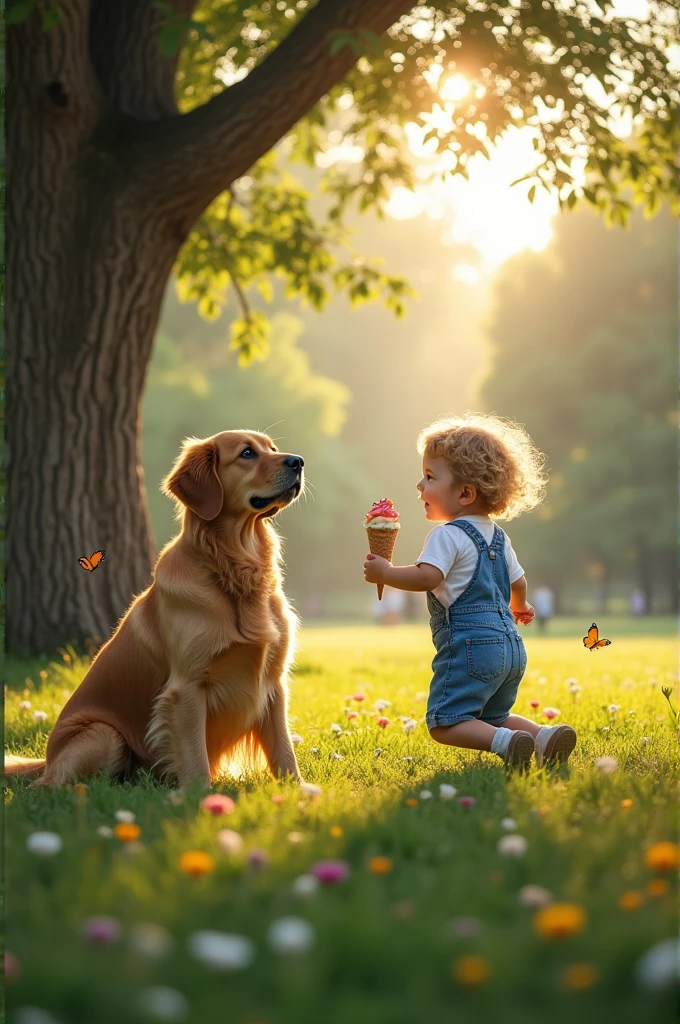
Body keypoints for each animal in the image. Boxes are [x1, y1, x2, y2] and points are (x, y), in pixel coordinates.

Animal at [6, 428, 303, 786]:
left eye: (272, 447)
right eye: (247, 453)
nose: (298, 461)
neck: (232, 570)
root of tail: (47, 761)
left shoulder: (273, 682)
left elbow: (284, 750)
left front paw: (299, 791)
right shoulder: (186, 688)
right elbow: (195, 759)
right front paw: (199, 796)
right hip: (105, 735)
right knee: (54, 786)